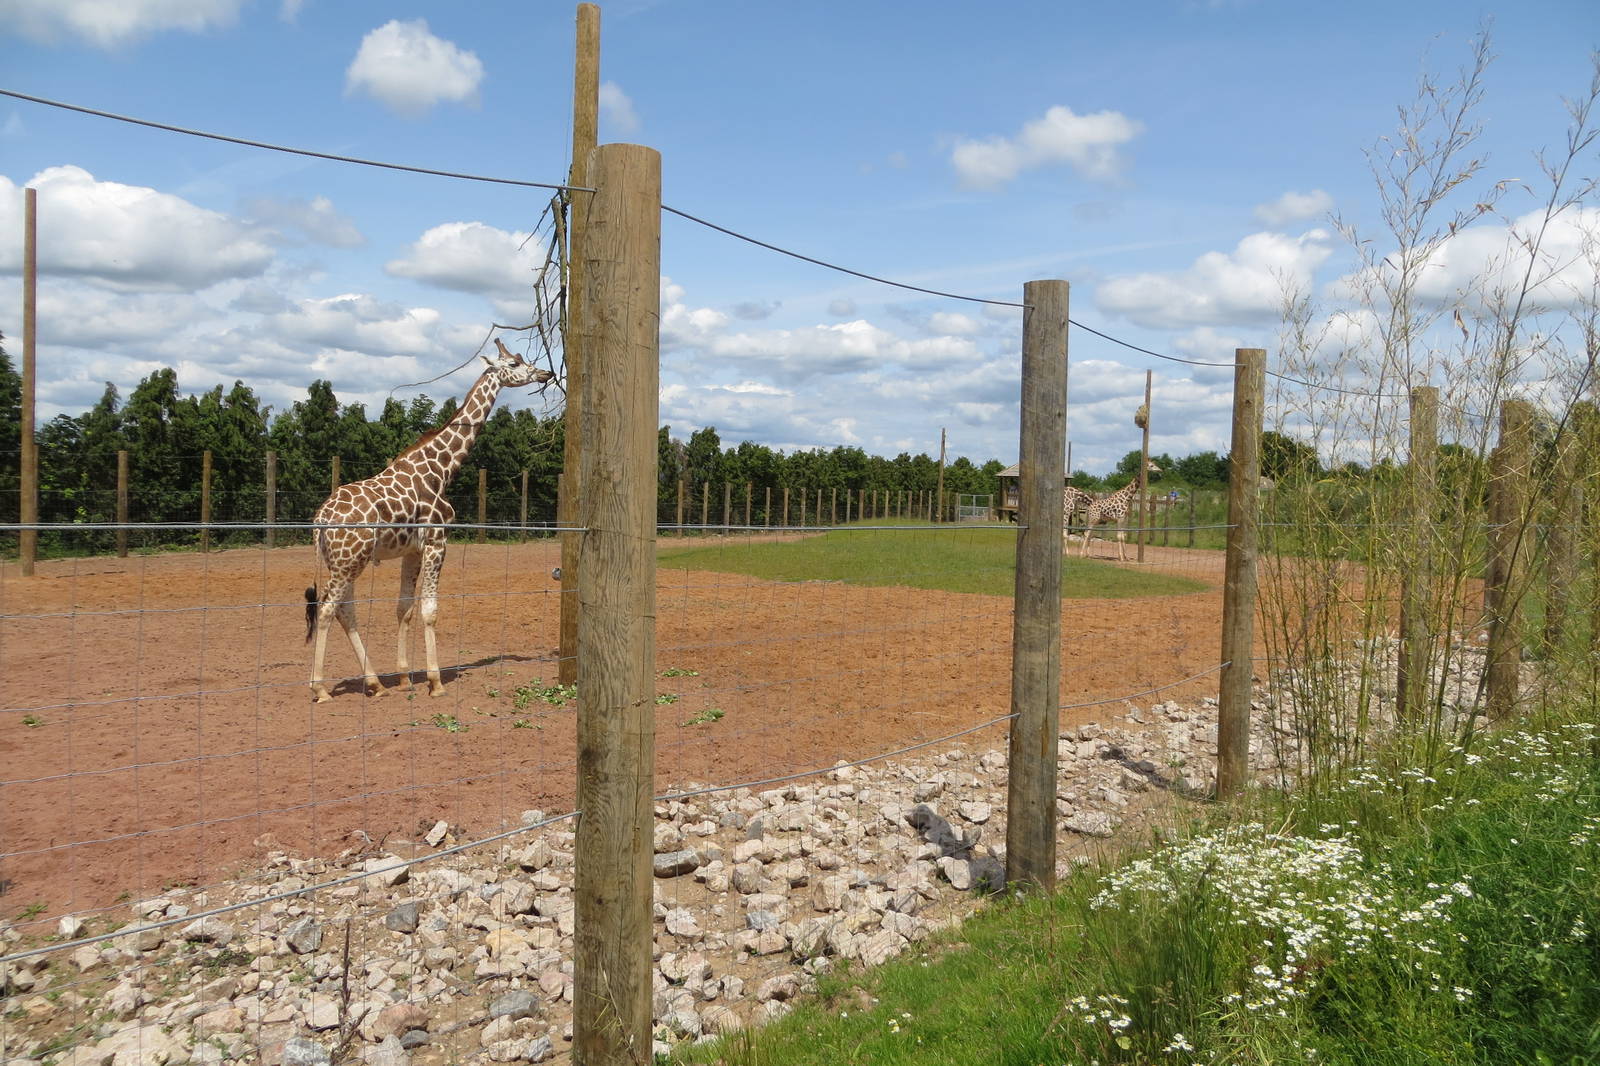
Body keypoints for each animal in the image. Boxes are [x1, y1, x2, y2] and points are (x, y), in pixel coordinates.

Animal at [306, 339, 553, 702]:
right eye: (514, 364)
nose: (545, 373)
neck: (441, 470)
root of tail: (321, 519)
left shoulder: (412, 550)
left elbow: (404, 607)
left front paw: (405, 677)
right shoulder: (438, 540)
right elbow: (430, 610)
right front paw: (435, 682)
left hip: (345, 560)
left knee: (344, 610)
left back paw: (375, 683)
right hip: (349, 558)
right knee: (325, 608)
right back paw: (320, 688)